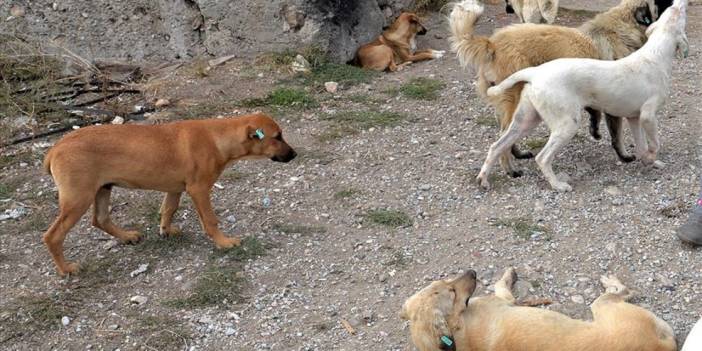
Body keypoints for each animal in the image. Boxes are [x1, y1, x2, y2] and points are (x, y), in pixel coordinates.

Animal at [43, 113, 296, 278]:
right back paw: (66, 269)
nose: (294, 154)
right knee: (53, 236)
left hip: (103, 189)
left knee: (100, 219)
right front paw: (224, 242)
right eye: (278, 136)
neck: (217, 137)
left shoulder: (175, 188)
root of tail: (55, 149)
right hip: (79, 198)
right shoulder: (199, 189)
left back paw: (127, 236)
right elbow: (210, 220)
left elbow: (169, 209)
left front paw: (166, 230)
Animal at [398, 268, 680, 350]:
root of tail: (661, 343)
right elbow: (502, 286)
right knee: (622, 291)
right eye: (452, 292)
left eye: (444, 282)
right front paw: (509, 275)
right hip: (603, 307)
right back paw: (609, 281)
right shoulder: (504, 301)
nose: (472, 272)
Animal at [476, 0, 692, 192]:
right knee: (542, 157)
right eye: (677, 12)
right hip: (566, 125)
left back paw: (484, 179)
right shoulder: (648, 116)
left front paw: (648, 161)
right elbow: (654, 143)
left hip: (526, 121)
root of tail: (535, 73)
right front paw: (652, 157)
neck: (655, 54)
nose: (681, 1)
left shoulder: (634, 118)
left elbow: (641, 147)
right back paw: (557, 185)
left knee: (496, 146)